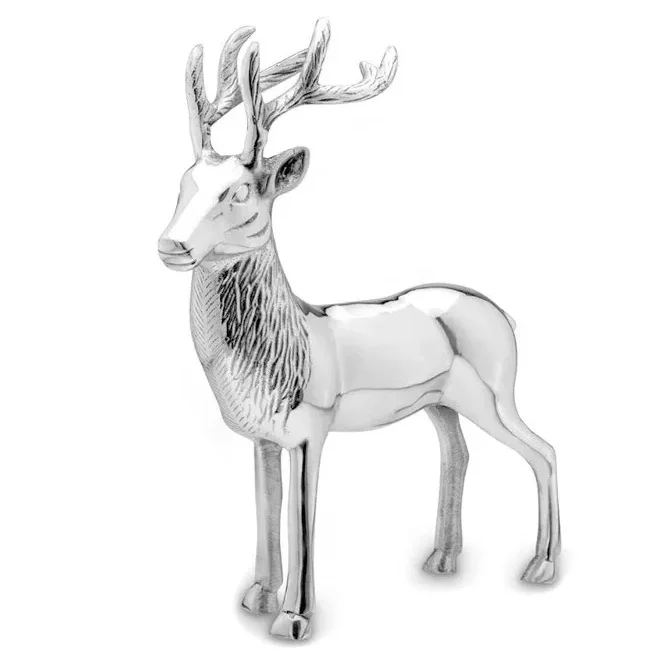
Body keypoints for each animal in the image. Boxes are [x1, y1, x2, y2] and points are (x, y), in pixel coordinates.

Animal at [157, 20, 561, 641]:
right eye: (185, 183)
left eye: (240, 191)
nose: (171, 244)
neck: (288, 345)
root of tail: (502, 313)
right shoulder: (261, 437)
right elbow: (266, 508)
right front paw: (257, 597)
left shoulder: (311, 429)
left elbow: (301, 516)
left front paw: (294, 619)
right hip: (440, 402)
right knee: (458, 451)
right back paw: (442, 559)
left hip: (497, 394)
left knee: (545, 451)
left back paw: (539, 567)